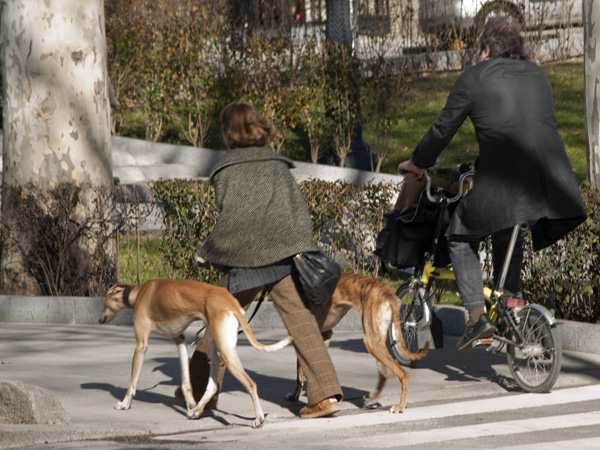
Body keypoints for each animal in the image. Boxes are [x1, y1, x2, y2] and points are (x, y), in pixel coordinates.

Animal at [99, 278, 292, 428]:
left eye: (103, 302)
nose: (100, 319)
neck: (138, 292)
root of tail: (231, 303)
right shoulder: (180, 340)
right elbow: (186, 380)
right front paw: (191, 402)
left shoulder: (141, 345)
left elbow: (132, 382)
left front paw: (124, 403)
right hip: (218, 346)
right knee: (213, 385)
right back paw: (196, 409)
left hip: (225, 351)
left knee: (250, 384)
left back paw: (258, 419)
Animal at [288, 272, 428, 414]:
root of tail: (388, 293)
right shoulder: (324, 336)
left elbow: (300, 372)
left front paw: (297, 396)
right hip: (376, 341)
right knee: (384, 374)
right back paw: (372, 400)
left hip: (372, 342)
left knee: (403, 374)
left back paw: (399, 406)